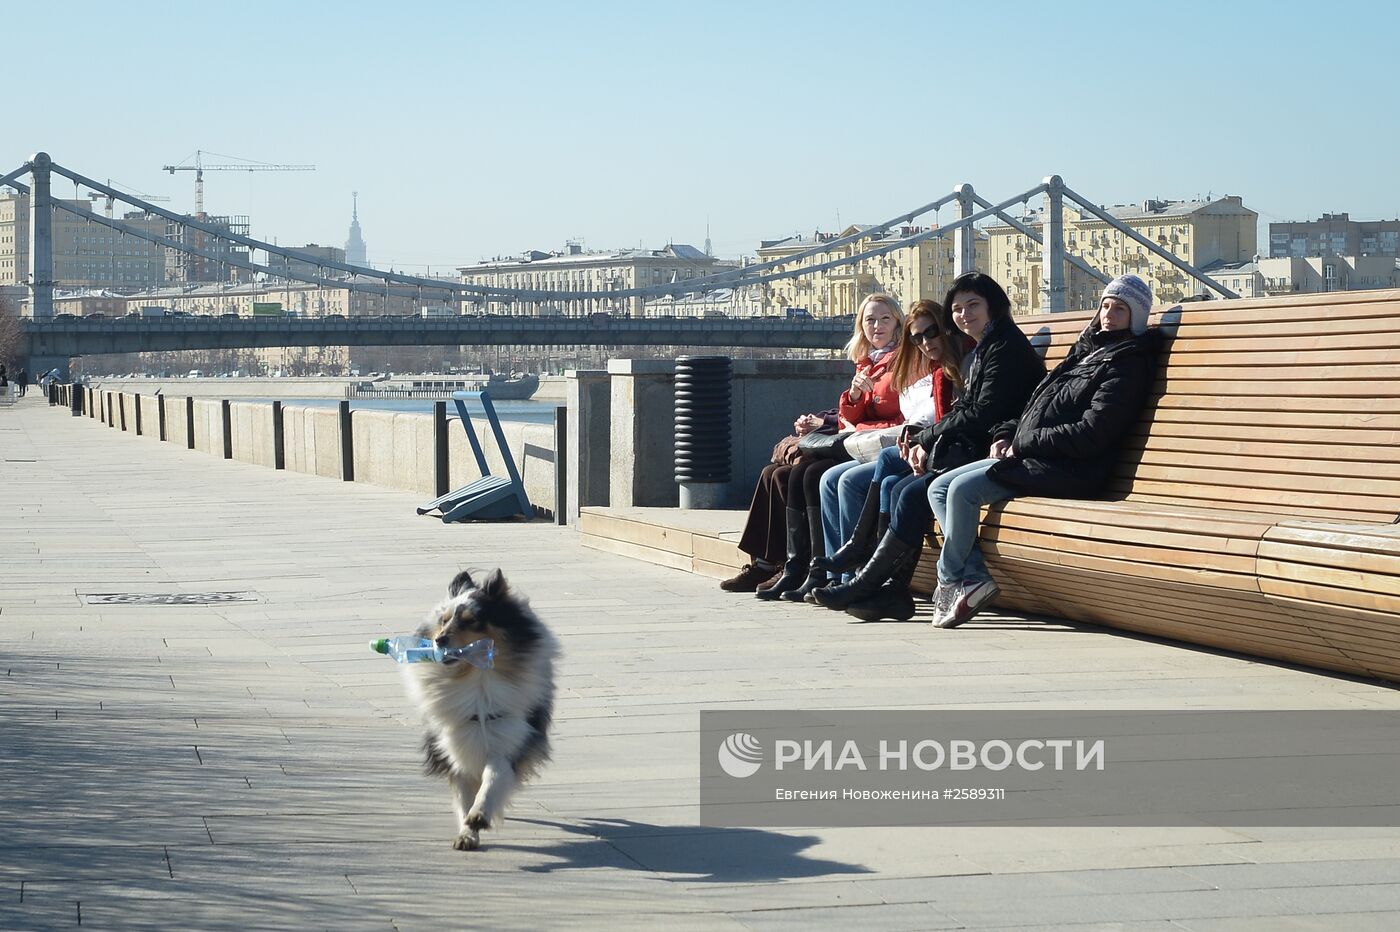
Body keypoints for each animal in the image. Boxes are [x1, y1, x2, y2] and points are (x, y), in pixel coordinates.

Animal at [400, 565, 557, 850]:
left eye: (471, 620)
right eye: (444, 620)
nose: (439, 640)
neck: (477, 677)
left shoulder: (509, 738)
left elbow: (493, 777)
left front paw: (479, 816)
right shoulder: (455, 743)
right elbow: (463, 794)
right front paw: (466, 834)